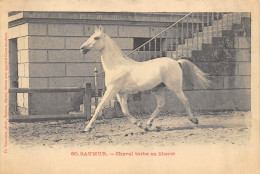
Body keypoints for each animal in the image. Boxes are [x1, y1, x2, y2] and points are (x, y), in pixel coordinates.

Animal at [79, 25, 211, 132]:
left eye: (96, 38)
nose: (82, 48)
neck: (116, 66)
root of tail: (176, 62)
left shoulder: (112, 89)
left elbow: (99, 107)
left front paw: (87, 128)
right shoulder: (121, 93)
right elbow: (125, 110)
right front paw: (140, 124)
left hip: (175, 88)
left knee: (185, 100)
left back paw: (194, 120)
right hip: (158, 88)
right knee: (161, 104)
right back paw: (148, 124)